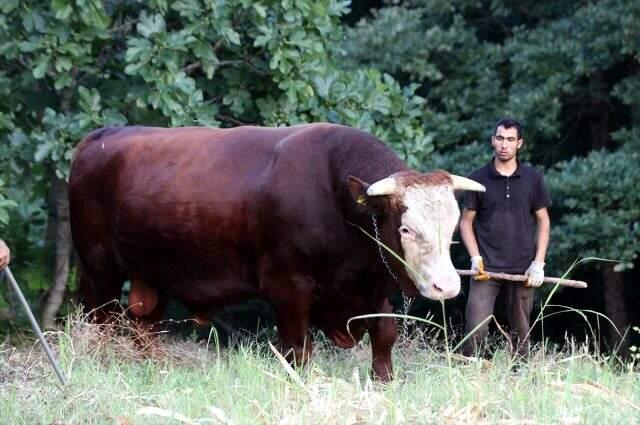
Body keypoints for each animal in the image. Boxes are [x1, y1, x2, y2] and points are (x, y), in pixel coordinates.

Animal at [69, 121, 480, 378]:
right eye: (407, 228)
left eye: (451, 227)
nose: (447, 286)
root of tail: (102, 136)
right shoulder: (289, 289)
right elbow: (298, 349)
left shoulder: (369, 286)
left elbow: (384, 336)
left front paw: (384, 381)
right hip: (99, 268)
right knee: (100, 321)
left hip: (152, 275)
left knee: (144, 325)